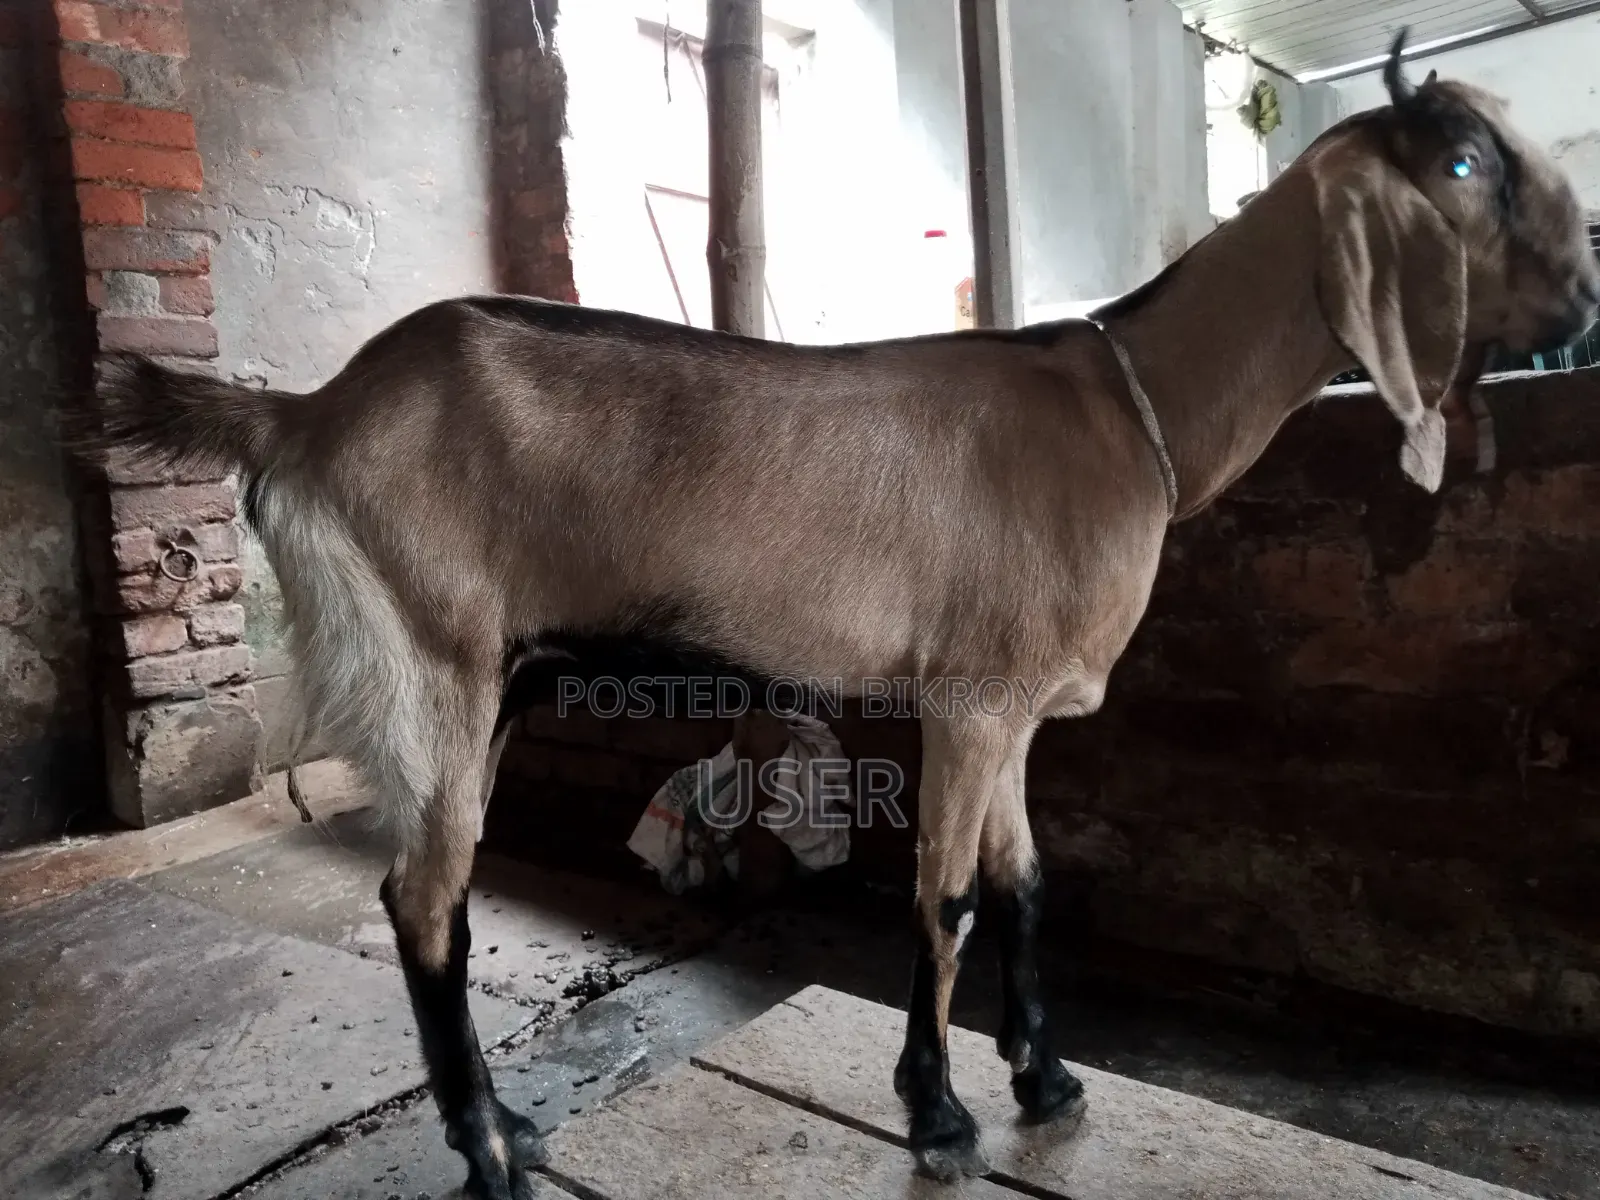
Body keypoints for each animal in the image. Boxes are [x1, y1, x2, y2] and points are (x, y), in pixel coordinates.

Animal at [76, 36, 1599, 1196]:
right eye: (1464, 166)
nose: (1585, 294)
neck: (1133, 407)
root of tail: (306, 413)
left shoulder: (1016, 708)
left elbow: (1024, 883)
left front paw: (1047, 1077)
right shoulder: (967, 700)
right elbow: (944, 897)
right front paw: (940, 1113)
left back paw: (499, 1126)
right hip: (433, 661)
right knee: (423, 897)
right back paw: (495, 1147)